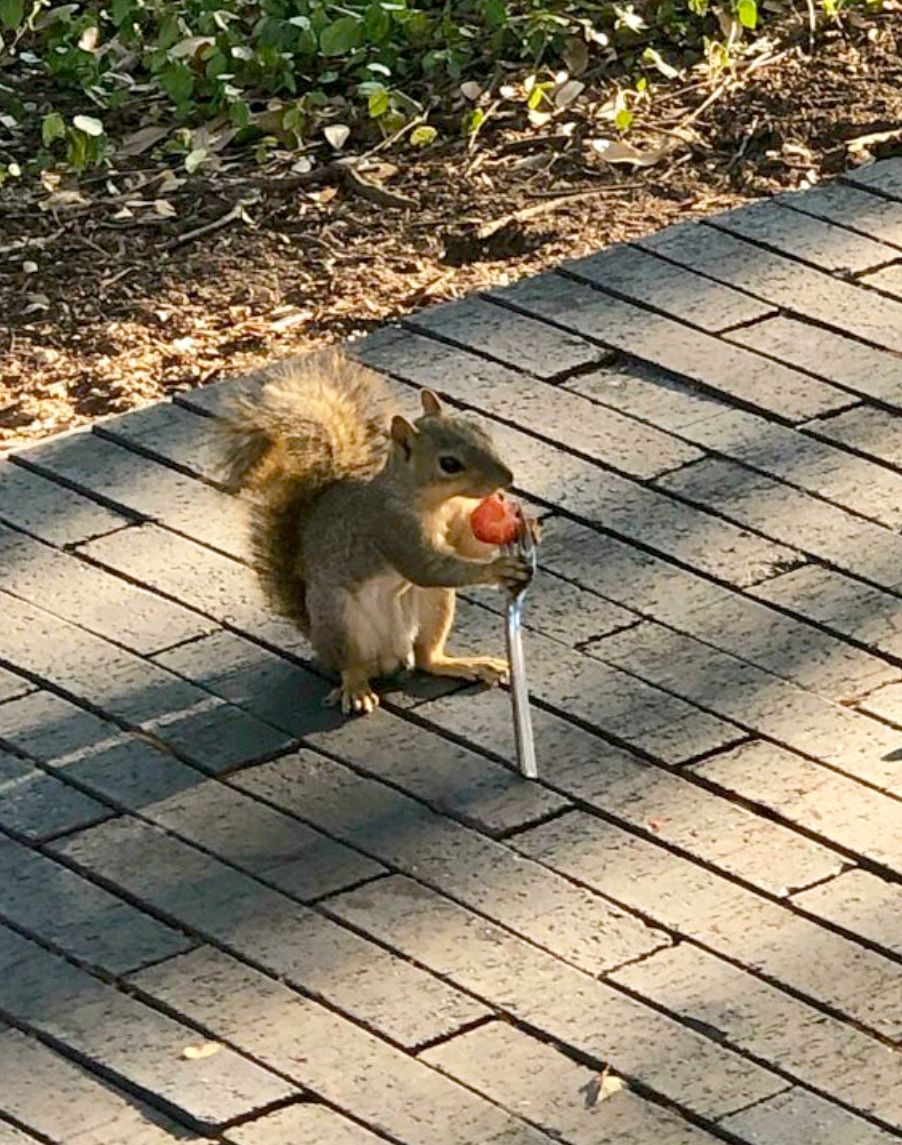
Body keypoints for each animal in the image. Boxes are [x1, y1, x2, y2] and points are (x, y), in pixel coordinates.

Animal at [219, 348, 535, 714]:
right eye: (449, 464)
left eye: (481, 431)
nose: (507, 478)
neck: (433, 501)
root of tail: (388, 656)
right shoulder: (391, 529)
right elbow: (429, 567)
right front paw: (499, 568)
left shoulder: (454, 523)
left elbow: (467, 546)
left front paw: (526, 526)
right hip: (339, 618)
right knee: (352, 665)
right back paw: (356, 689)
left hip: (435, 603)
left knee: (426, 657)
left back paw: (464, 664)